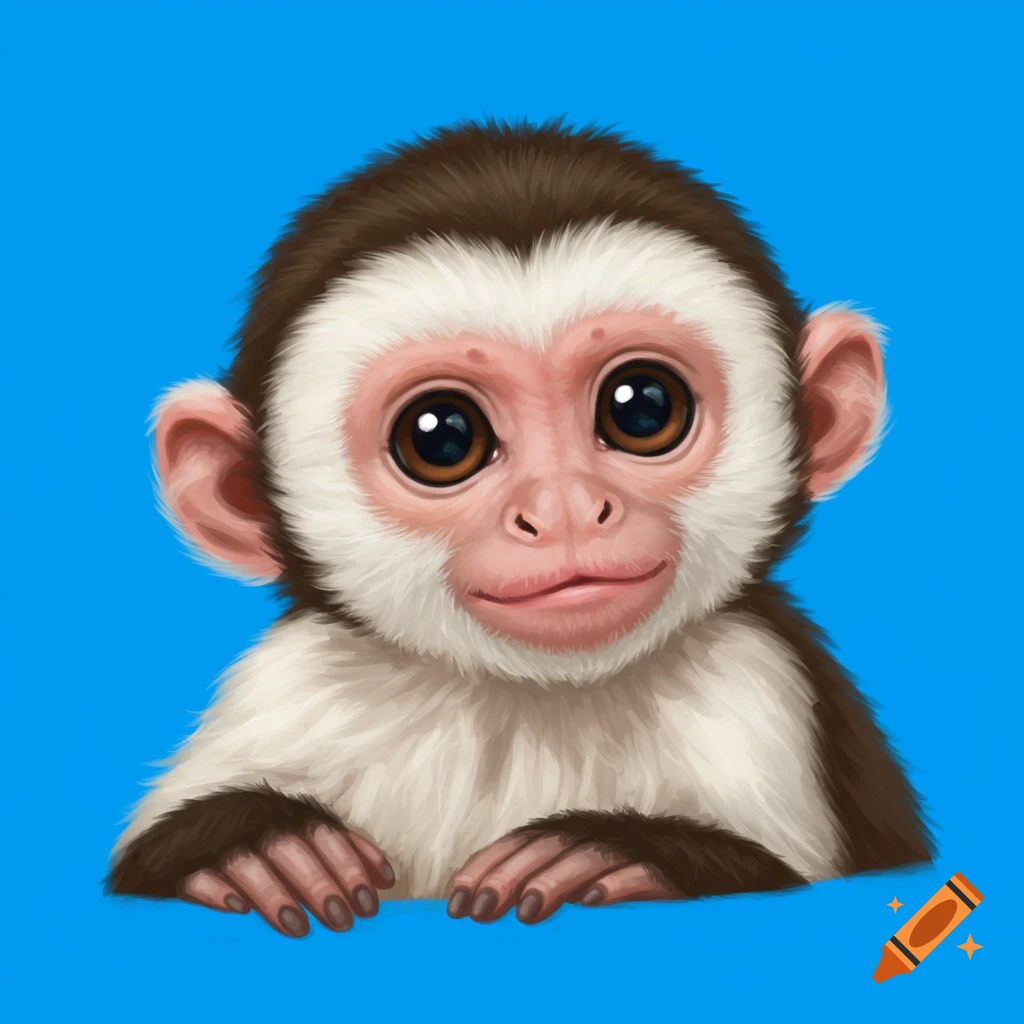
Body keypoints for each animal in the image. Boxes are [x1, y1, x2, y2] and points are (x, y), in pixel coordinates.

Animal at [107, 119, 932, 938]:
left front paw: (604, 856)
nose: (565, 509)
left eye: (643, 407)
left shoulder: (763, 685)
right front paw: (264, 849)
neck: (528, 700)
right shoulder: (286, 685)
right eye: (442, 437)